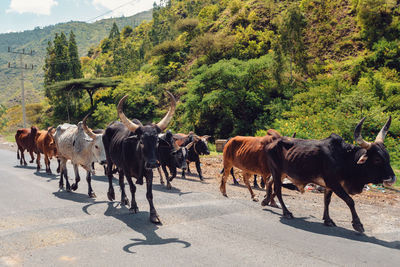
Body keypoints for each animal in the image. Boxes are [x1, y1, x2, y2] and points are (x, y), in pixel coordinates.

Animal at [102, 92, 176, 224]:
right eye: (141, 141)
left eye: (157, 141)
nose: (152, 163)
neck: (139, 160)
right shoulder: (127, 171)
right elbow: (132, 187)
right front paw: (134, 206)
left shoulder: (149, 173)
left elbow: (149, 194)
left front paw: (154, 214)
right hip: (109, 157)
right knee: (110, 174)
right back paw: (111, 194)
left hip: (120, 166)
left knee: (120, 181)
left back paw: (124, 199)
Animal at [262, 117, 396, 232]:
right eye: (377, 159)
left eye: (388, 157)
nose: (392, 179)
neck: (345, 158)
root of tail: (271, 143)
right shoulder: (334, 183)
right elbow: (350, 201)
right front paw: (357, 224)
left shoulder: (329, 185)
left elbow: (327, 200)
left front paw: (327, 220)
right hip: (276, 171)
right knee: (278, 190)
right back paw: (286, 212)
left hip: (282, 173)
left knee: (269, 183)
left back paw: (266, 201)